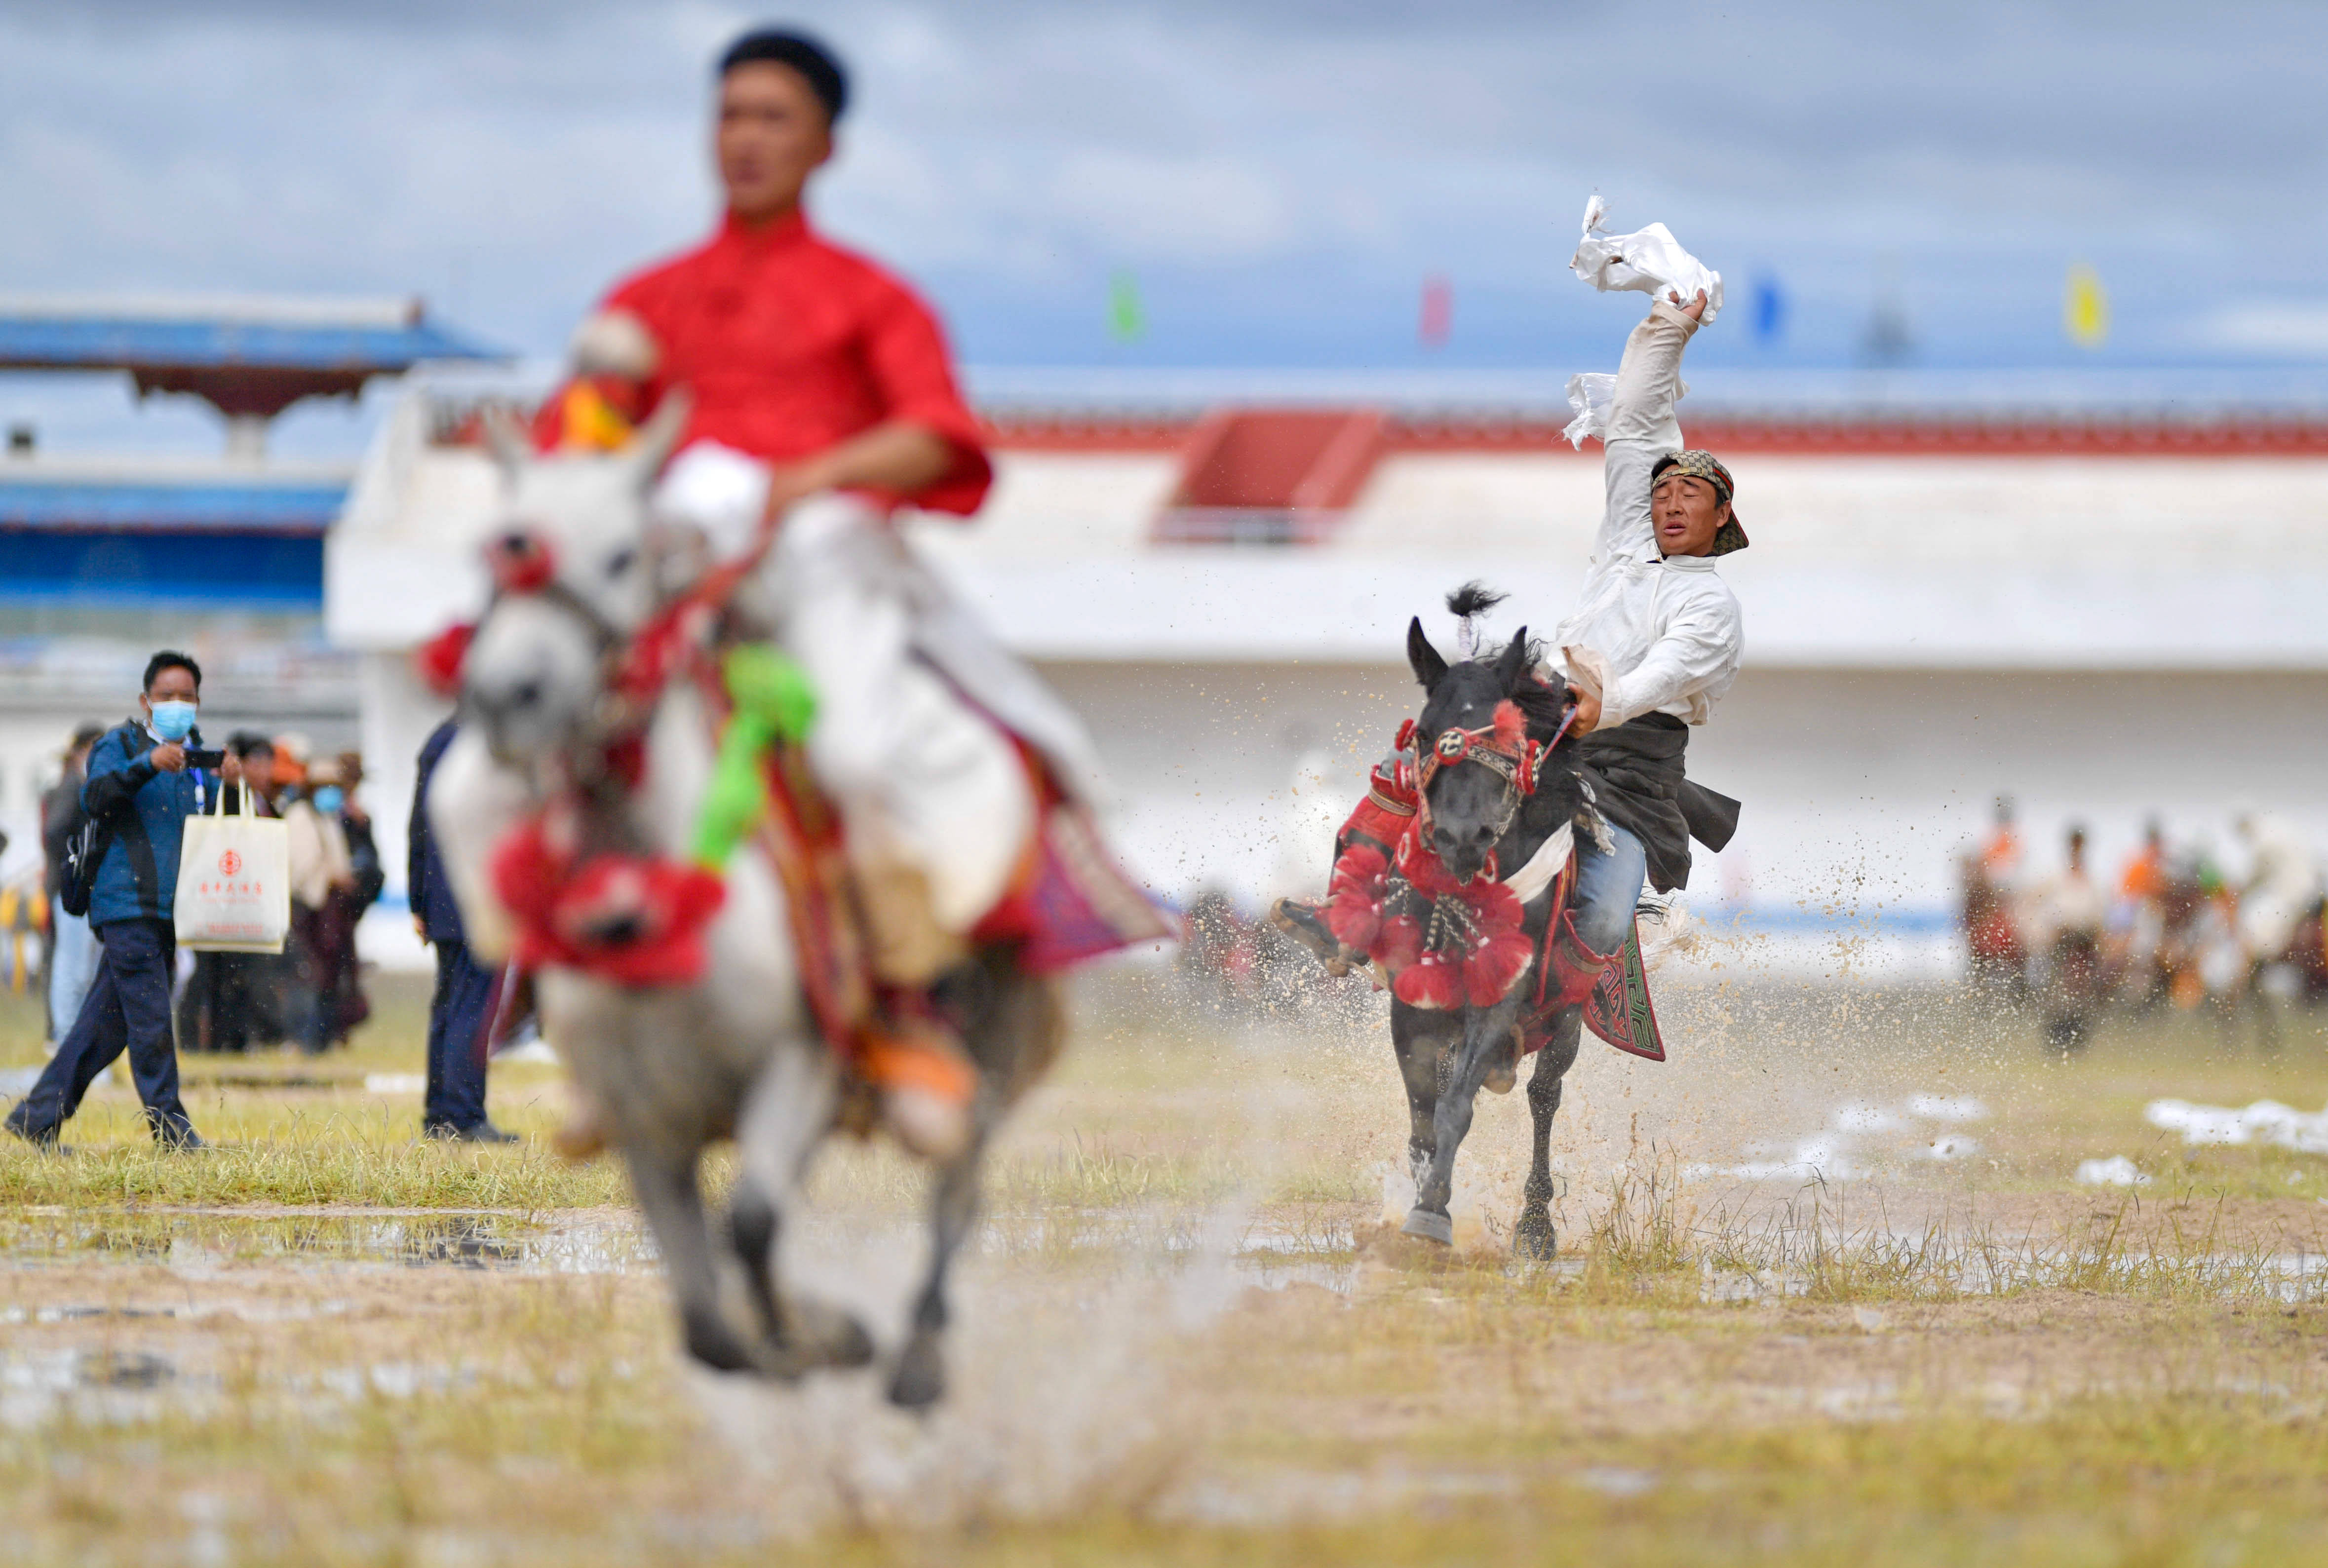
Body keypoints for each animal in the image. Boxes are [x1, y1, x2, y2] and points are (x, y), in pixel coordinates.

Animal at [430, 407, 1066, 1405]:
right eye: (497, 547)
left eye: (625, 554)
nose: (505, 694)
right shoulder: (644, 1120)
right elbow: (706, 1318)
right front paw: (801, 1333)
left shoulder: (801, 1063)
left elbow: (757, 1221)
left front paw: (824, 1340)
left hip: (993, 1031)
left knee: (959, 1184)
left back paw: (918, 1360)